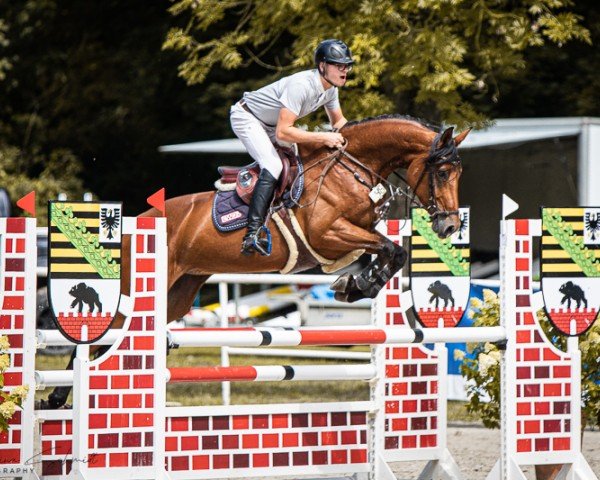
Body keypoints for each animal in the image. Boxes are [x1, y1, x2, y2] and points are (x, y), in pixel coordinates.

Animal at [43, 113, 468, 408]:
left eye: (458, 172)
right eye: (442, 171)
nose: (449, 226)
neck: (351, 169)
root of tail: (136, 224)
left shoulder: (351, 239)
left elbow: (390, 251)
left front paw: (355, 285)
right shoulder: (328, 235)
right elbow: (391, 249)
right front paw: (358, 285)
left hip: (178, 294)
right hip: (141, 289)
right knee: (103, 339)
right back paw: (57, 398)